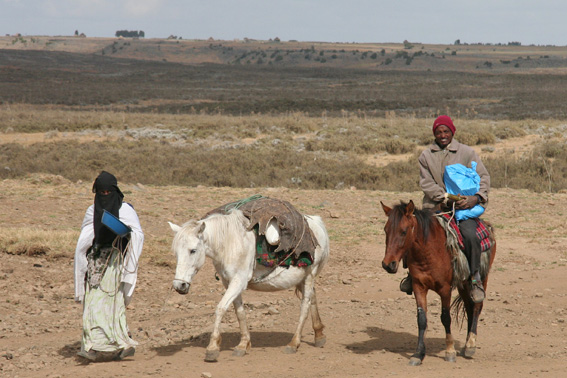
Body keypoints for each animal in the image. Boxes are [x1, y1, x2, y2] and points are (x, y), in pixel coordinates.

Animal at [166, 208, 330, 362]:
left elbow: (220, 308)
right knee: (313, 298)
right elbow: (240, 312)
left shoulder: (238, 281)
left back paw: (294, 343)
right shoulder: (229, 282)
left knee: (305, 306)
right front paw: (243, 345)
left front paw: (212, 348)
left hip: (309, 275)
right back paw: (319, 335)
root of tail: (316, 222)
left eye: (193, 250)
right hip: (303, 278)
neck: (230, 243)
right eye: (176, 253)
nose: (179, 285)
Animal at [382, 201, 496, 366]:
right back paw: (466, 344)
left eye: (403, 231)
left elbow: (445, 318)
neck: (428, 252)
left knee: (476, 307)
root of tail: (487, 226)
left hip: (483, 276)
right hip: (463, 284)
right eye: (386, 230)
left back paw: (471, 345)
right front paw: (418, 354)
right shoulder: (418, 286)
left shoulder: (445, 289)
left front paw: (450, 351)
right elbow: (421, 319)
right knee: (469, 307)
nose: (387, 264)